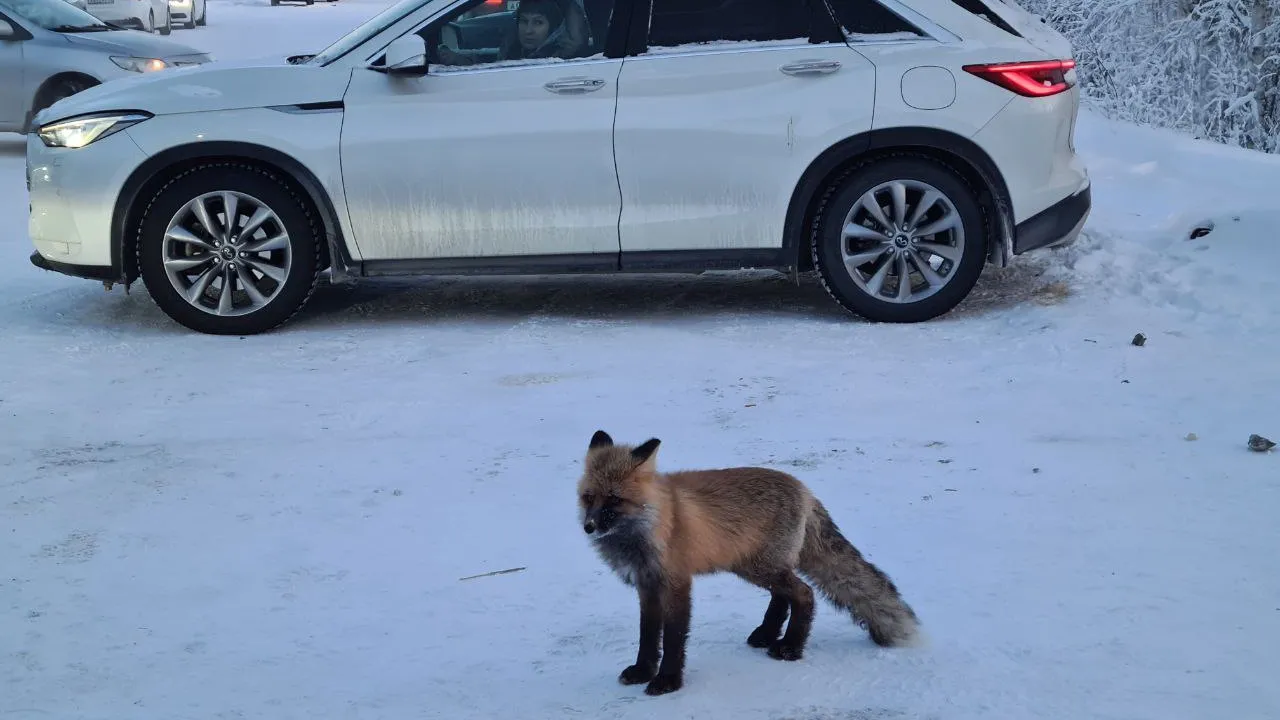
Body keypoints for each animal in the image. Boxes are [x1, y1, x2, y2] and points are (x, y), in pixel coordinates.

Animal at [581, 427, 921, 691]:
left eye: (614, 499)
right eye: (588, 497)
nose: (589, 526)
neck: (646, 527)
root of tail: (805, 490)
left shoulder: (677, 583)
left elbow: (675, 639)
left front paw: (667, 682)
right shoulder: (647, 586)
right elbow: (648, 636)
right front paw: (642, 672)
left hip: (760, 567)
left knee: (804, 594)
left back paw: (790, 647)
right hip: (755, 566)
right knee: (783, 596)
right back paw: (767, 635)